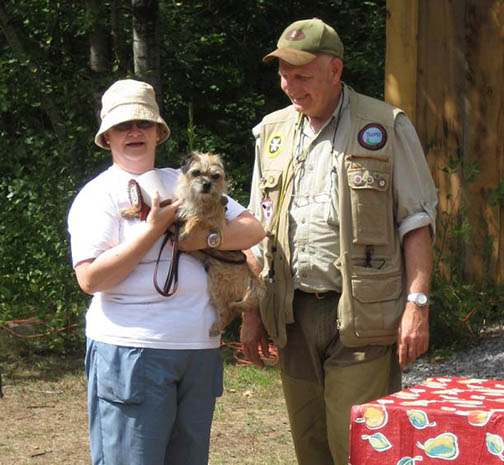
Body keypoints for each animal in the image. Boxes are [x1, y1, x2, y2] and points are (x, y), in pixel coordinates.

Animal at [175, 151, 265, 336]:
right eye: (196, 172)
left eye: (216, 176)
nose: (207, 184)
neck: (199, 202)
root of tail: (249, 270)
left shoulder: (214, 224)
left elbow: (196, 218)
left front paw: (185, 231)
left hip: (217, 283)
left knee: (229, 310)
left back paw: (217, 327)